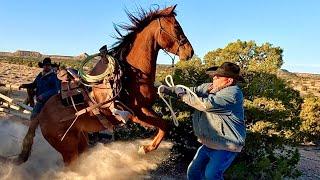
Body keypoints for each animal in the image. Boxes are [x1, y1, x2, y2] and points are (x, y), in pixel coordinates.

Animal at [11, 4, 192, 165]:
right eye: (177, 27)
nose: (190, 52)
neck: (130, 76)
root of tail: (40, 116)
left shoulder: (146, 109)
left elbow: (165, 125)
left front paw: (146, 147)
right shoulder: (137, 113)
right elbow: (165, 126)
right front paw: (145, 149)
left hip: (80, 141)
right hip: (68, 150)